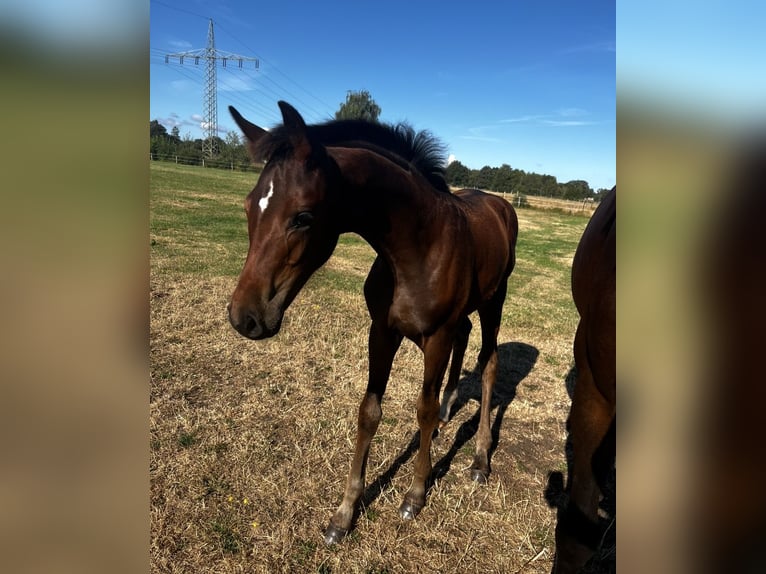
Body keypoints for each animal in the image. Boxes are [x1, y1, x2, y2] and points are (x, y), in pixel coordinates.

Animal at [226, 101, 518, 544]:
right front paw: (344, 515)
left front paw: (415, 495)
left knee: (489, 364)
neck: (417, 247)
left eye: (303, 217)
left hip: (493, 302)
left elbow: (422, 408)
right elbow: (370, 411)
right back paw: (450, 410)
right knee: (466, 342)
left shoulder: (436, 337)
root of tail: (501, 205)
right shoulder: (381, 332)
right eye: (247, 206)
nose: (245, 318)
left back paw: (481, 459)